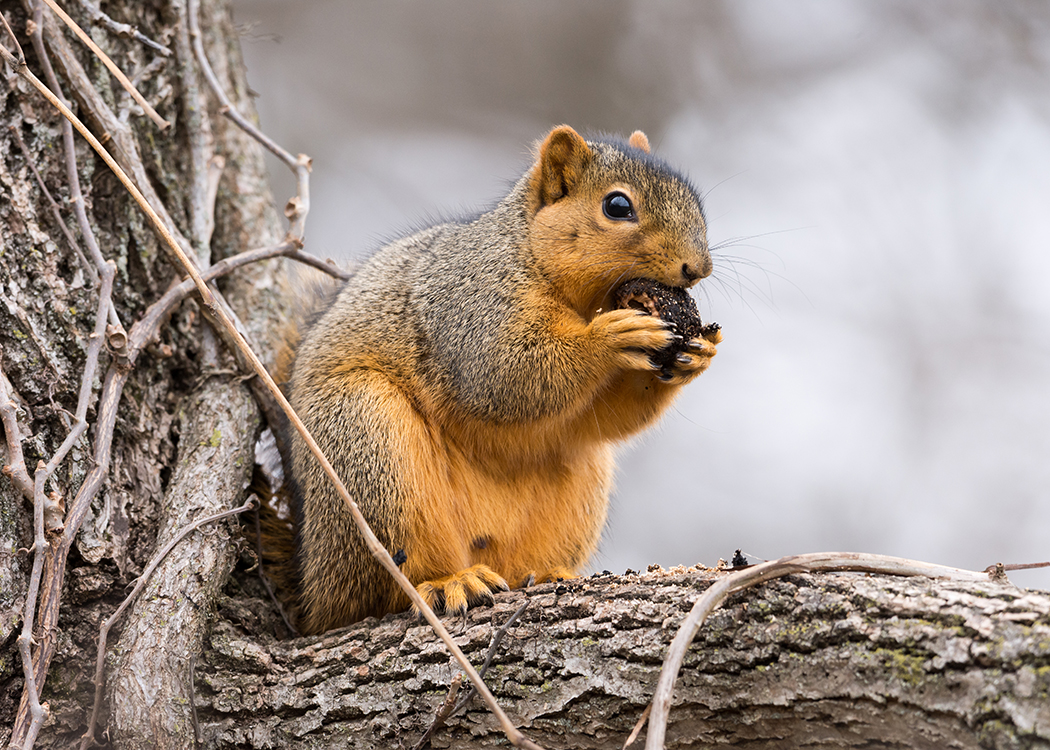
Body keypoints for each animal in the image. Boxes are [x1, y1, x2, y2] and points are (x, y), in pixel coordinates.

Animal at [282, 125, 721, 635]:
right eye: (617, 206)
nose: (698, 268)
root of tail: (314, 591)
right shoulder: (471, 306)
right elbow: (505, 372)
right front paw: (609, 337)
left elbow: (604, 417)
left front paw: (699, 353)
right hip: (367, 440)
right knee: (387, 583)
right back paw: (449, 582)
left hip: (579, 484)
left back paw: (546, 574)